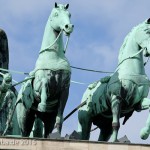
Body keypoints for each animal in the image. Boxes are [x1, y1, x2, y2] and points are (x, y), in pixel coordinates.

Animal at [16, 2, 73, 138]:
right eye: (56, 14)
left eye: (69, 14)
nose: (68, 27)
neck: (54, 56)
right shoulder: (39, 84)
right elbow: (45, 85)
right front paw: (42, 104)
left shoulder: (65, 90)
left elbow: (60, 117)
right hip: (24, 117)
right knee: (25, 133)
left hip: (47, 119)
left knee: (47, 130)